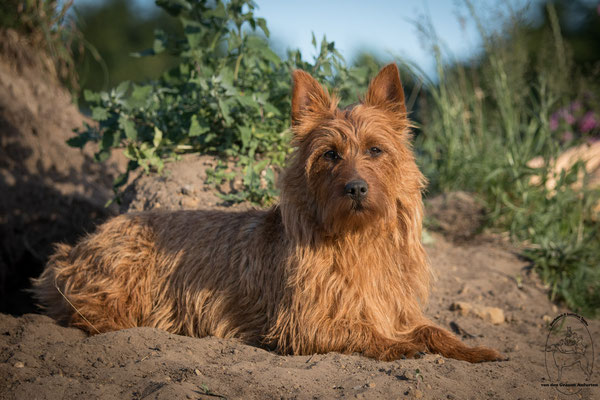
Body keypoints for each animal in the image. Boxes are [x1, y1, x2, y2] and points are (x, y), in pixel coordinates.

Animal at [31, 62, 502, 362]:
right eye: (330, 154)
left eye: (374, 149)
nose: (355, 187)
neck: (357, 239)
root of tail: (76, 248)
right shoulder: (304, 322)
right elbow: (362, 330)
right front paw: (398, 346)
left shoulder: (398, 308)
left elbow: (434, 328)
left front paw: (474, 349)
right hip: (126, 269)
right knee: (86, 310)